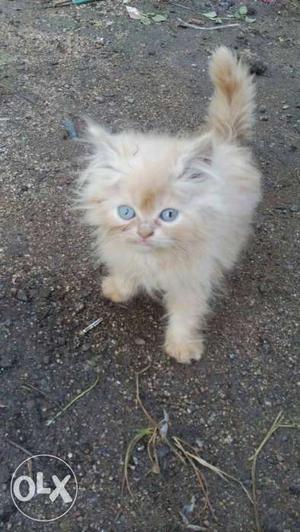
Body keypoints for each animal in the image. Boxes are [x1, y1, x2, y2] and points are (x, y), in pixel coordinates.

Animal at [76, 47, 262, 364]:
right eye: (126, 212)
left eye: (169, 215)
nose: (144, 232)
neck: (153, 259)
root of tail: (226, 141)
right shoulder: (125, 252)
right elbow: (127, 270)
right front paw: (119, 289)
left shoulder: (193, 278)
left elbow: (186, 315)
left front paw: (183, 347)